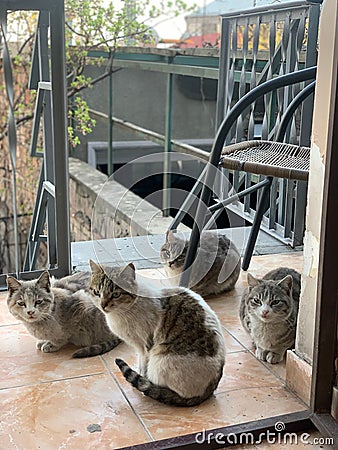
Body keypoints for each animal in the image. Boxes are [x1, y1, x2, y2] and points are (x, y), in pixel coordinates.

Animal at [88, 256, 226, 408]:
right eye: (97, 292)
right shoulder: (139, 348)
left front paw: (142, 379)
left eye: (116, 294)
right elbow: (140, 363)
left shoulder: (144, 346)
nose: (103, 305)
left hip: (160, 359)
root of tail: (209, 390)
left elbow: (143, 366)